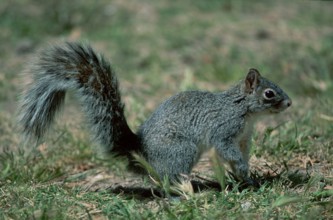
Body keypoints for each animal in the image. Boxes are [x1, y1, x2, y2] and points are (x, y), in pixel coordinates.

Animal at [18, 41, 290, 184]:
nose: (288, 103)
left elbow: (239, 154)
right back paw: (185, 189)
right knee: (167, 180)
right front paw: (243, 171)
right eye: (269, 93)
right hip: (182, 150)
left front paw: (245, 176)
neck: (243, 109)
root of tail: (140, 151)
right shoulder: (224, 129)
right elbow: (226, 149)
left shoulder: (243, 137)